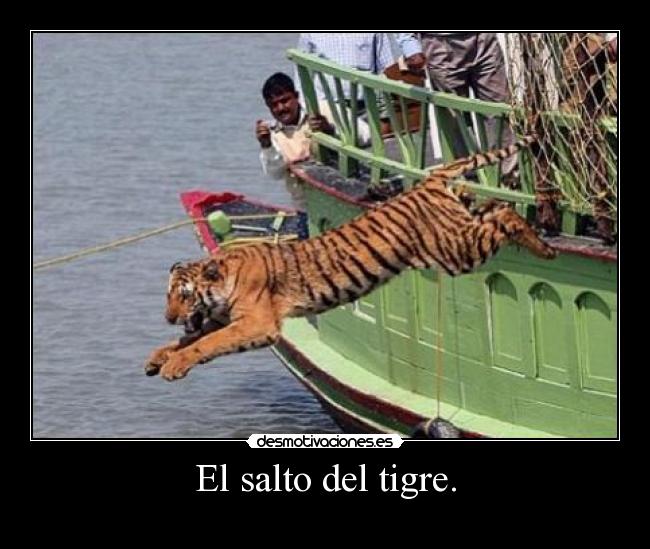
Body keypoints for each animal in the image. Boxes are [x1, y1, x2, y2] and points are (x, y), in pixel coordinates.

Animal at [145, 136, 557, 381]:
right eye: (167, 295)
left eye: (183, 295)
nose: (167, 317)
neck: (223, 285)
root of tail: (431, 178)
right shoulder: (227, 319)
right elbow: (188, 339)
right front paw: (157, 357)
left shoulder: (257, 324)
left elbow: (205, 343)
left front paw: (174, 365)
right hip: (460, 230)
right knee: (494, 207)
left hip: (457, 252)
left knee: (506, 214)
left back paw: (545, 247)